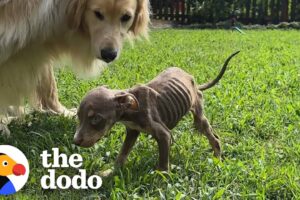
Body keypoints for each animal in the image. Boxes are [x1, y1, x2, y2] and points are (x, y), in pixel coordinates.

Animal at [74, 51, 239, 170]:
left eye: (96, 118)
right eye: (78, 117)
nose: (75, 141)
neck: (130, 108)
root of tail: (192, 80)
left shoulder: (163, 134)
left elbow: (163, 164)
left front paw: (162, 179)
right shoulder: (132, 131)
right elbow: (122, 153)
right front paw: (112, 171)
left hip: (198, 114)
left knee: (214, 137)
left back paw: (217, 158)